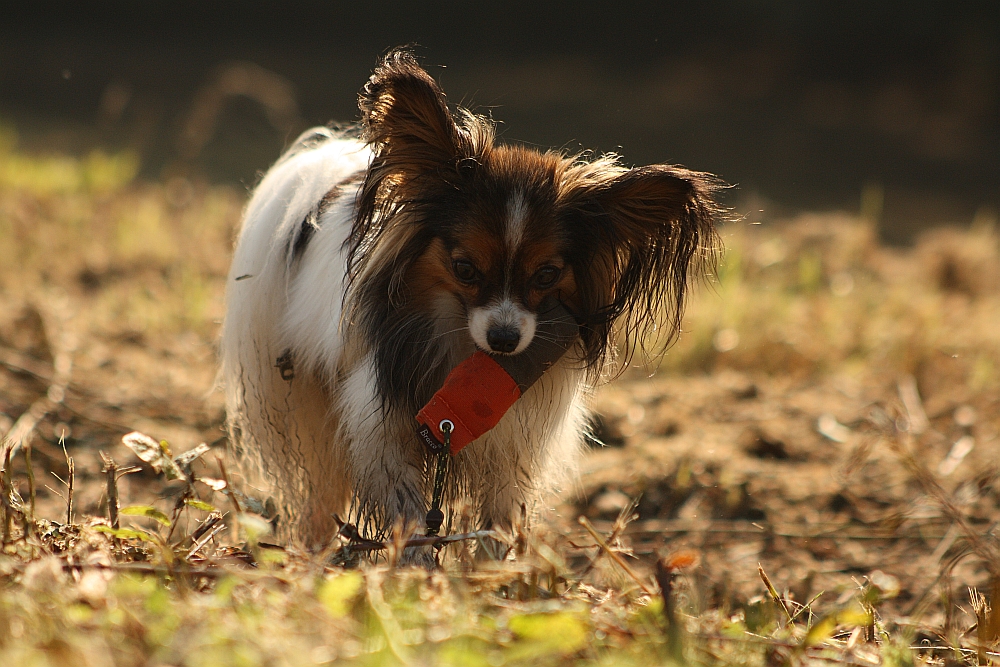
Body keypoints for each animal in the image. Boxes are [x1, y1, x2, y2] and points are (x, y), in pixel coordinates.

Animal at [219, 51, 724, 552]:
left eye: (547, 274)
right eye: (464, 269)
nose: (503, 341)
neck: (466, 354)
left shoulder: (511, 446)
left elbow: (498, 522)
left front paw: (497, 571)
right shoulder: (381, 424)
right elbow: (407, 510)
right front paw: (415, 562)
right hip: (302, 403)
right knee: (319, 493)